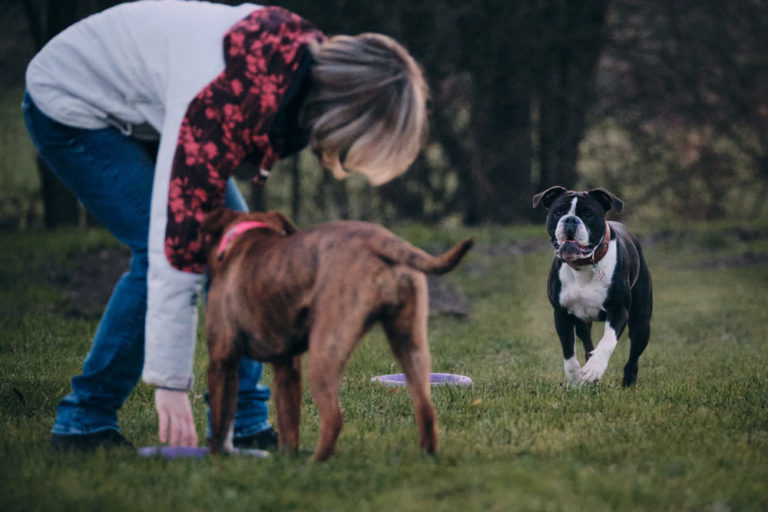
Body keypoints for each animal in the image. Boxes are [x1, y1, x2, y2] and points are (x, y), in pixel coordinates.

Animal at [201, 207, 472, 460]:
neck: (245, 238)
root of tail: (383, 239)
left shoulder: (222, 358)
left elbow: (220, 420)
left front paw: (216, 460)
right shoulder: (286, 366)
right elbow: (288, 422)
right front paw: (287, 459)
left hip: (324, 352)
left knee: (333, 417)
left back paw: (316, 463)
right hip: (410, 344)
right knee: (425, 407)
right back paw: (426, 455)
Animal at [536, 186, 656, 386]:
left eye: (588, 214)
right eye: (558, 212)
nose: (570, 220)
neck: (584, 265)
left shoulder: (618, 310)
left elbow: (607, 341)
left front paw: (594, 368)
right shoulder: (561, 314)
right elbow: (569, 352)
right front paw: (576, 379)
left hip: (641, 322)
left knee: (634, 355)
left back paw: (628, 381)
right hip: (582, 323)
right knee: (587, 343)